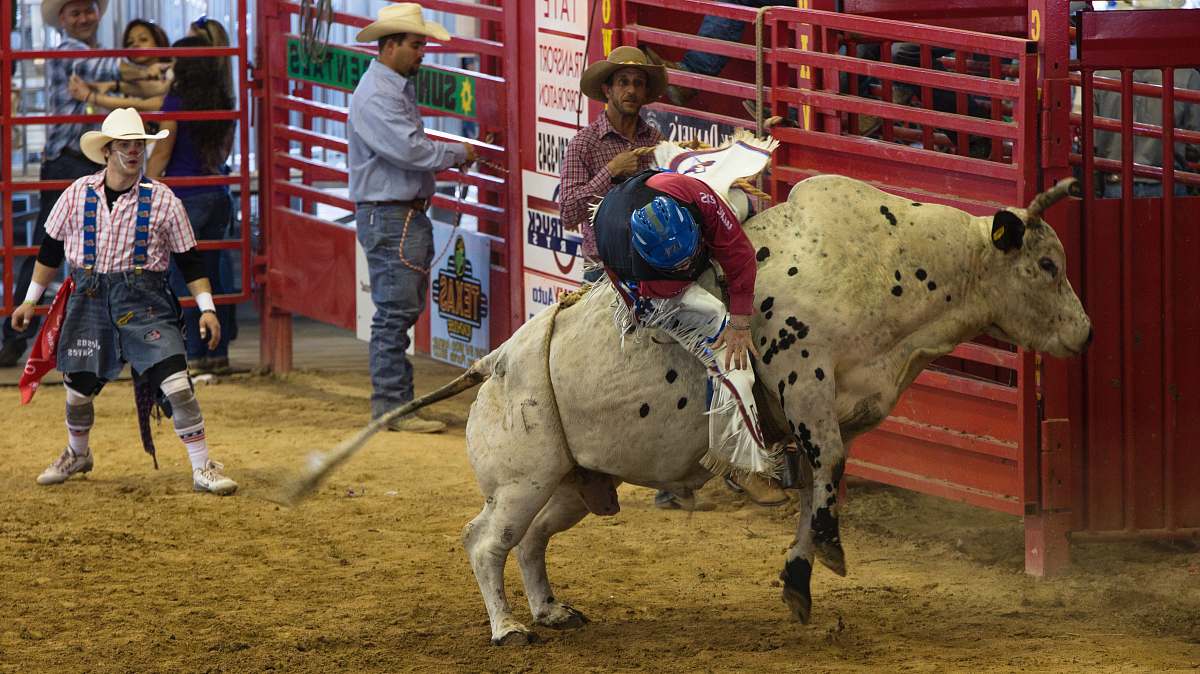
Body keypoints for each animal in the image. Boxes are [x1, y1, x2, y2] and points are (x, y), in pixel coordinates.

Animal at [285, 171, 1094, 638]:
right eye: (1047, 264)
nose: (1084, 334)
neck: (890, 264)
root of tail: (492, 362)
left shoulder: (835, 410)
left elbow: (821, 482)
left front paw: (800, 576)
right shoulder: (801, 379)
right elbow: (827, 470)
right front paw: (823, 558)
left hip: (571, 483)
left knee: (533, 541)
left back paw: (551, 610)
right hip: (520, 478)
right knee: (485, 540)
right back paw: (509, 628)